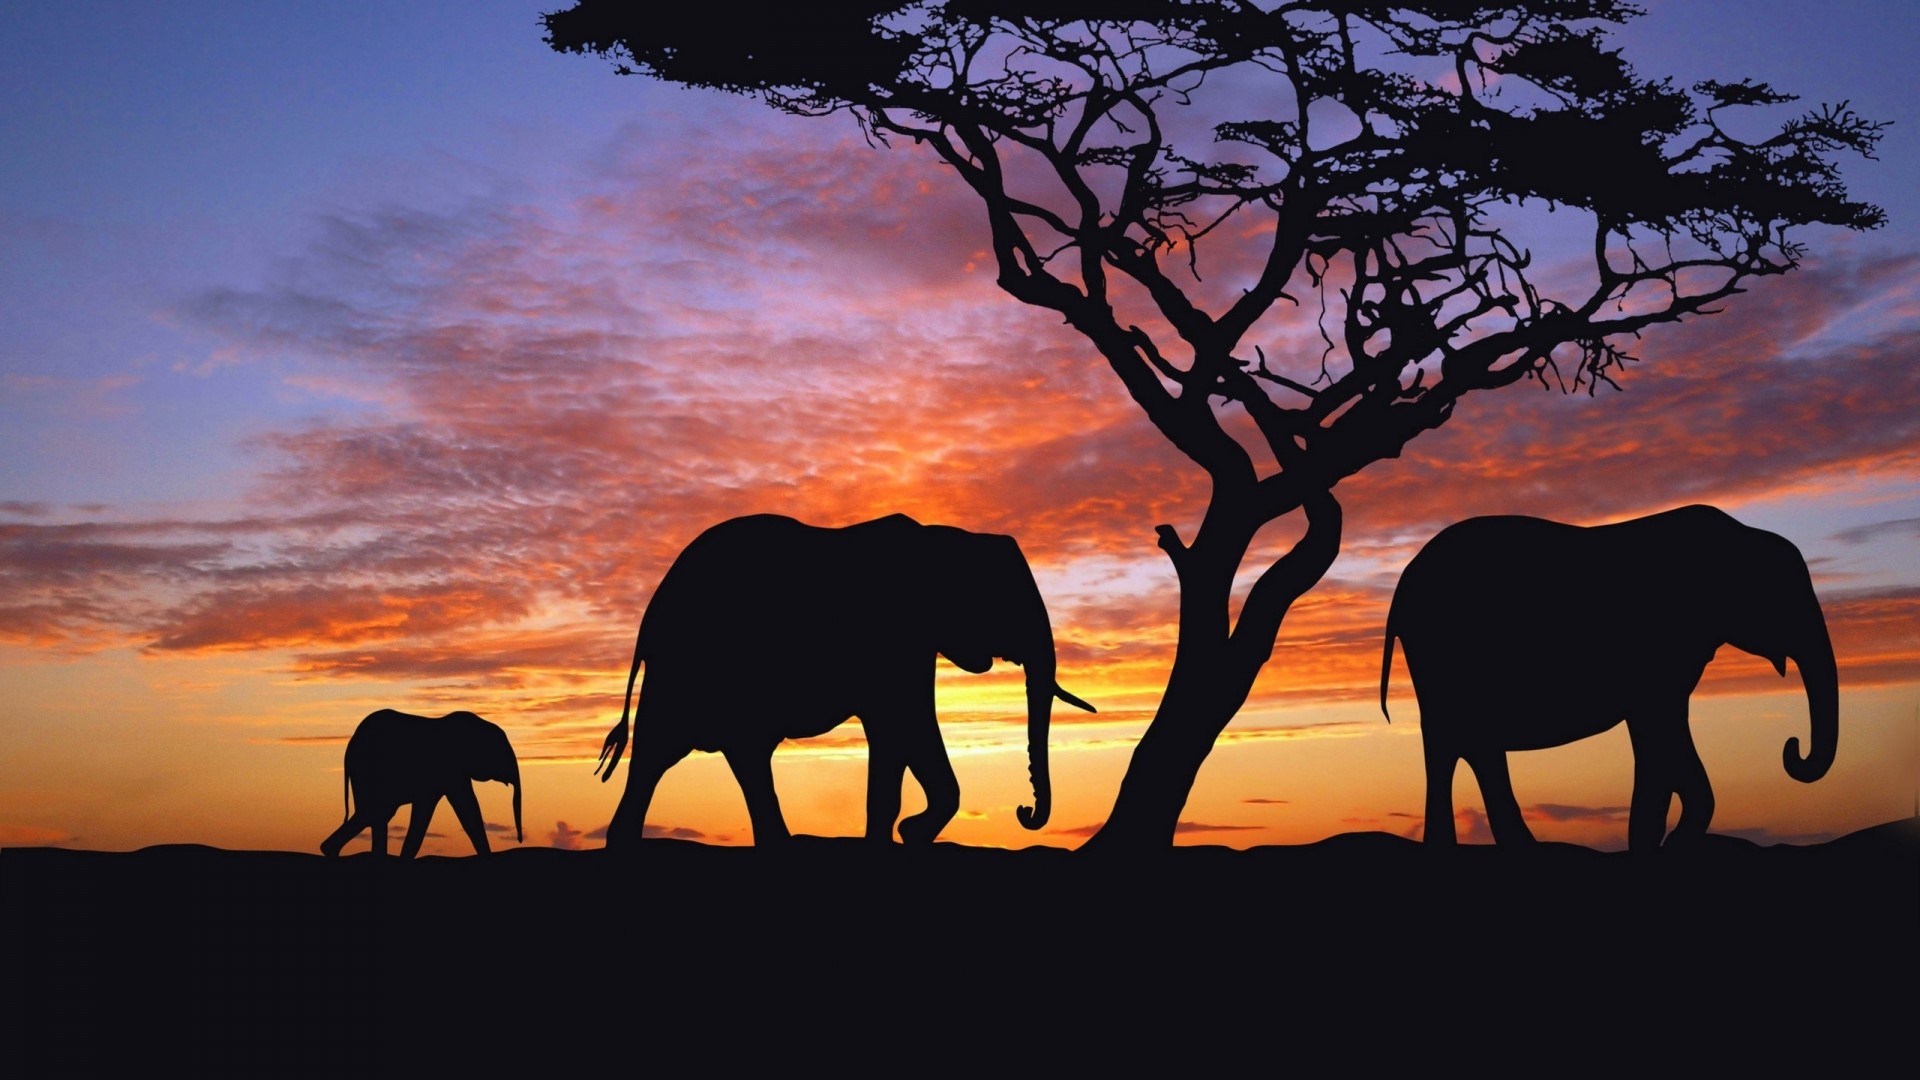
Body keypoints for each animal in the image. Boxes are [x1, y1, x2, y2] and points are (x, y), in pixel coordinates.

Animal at [319, 709, 523, 858]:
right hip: (367, 770)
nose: (520, 840)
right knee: (374, 812)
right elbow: (465, 808)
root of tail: (350, 745)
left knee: (376, 814)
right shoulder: (450, 770)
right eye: (502, 752)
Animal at [595, 513, 1095, 847]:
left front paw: (906, 835)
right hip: (688, 668)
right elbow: (904, 724)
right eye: (1009, 603)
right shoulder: (895, 641)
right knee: (674, 751)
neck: (945, 538)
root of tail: (650, 615)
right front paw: (904, 834)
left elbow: (904, 733)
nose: (1025, 811)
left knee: (709, 754)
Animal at [1379, 505, 1837, 851]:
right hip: (1443, 656)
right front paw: (1659, 844)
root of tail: (1402, 585)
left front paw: (1662, 842)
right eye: (1784, 597)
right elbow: (1659, 730)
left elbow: (1662, 736)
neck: (1738, 535)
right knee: (1455, 742)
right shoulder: (1659, 652)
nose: (1792, 748)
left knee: (1467, 744)